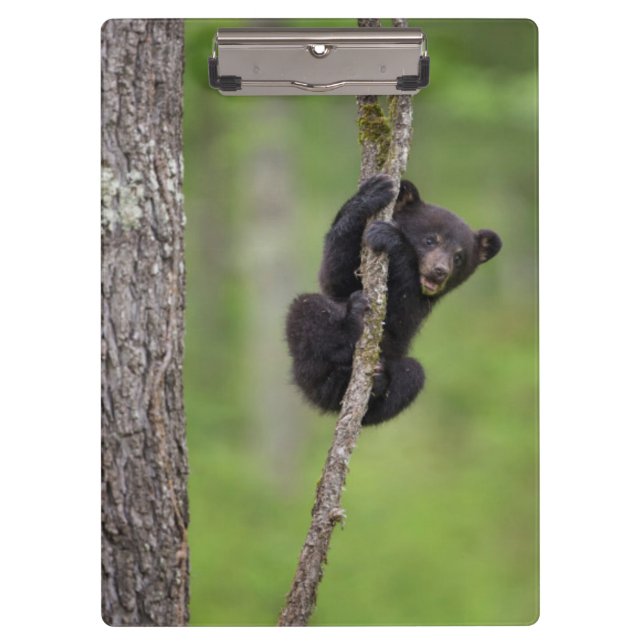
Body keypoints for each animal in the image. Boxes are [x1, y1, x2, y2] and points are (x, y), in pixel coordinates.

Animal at [285, 174, 502, 426]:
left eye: (459, 257)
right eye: (430, 240)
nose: (440, 271)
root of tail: (325, 399)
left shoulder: (420, 305)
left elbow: (400, 317)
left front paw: (392, 238)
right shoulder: (344, 279)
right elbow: (335, 275)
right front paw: (371, 194)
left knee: (412, 375)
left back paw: (377, 383)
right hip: (309, 369)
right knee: (307, 308)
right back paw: (349, 327)